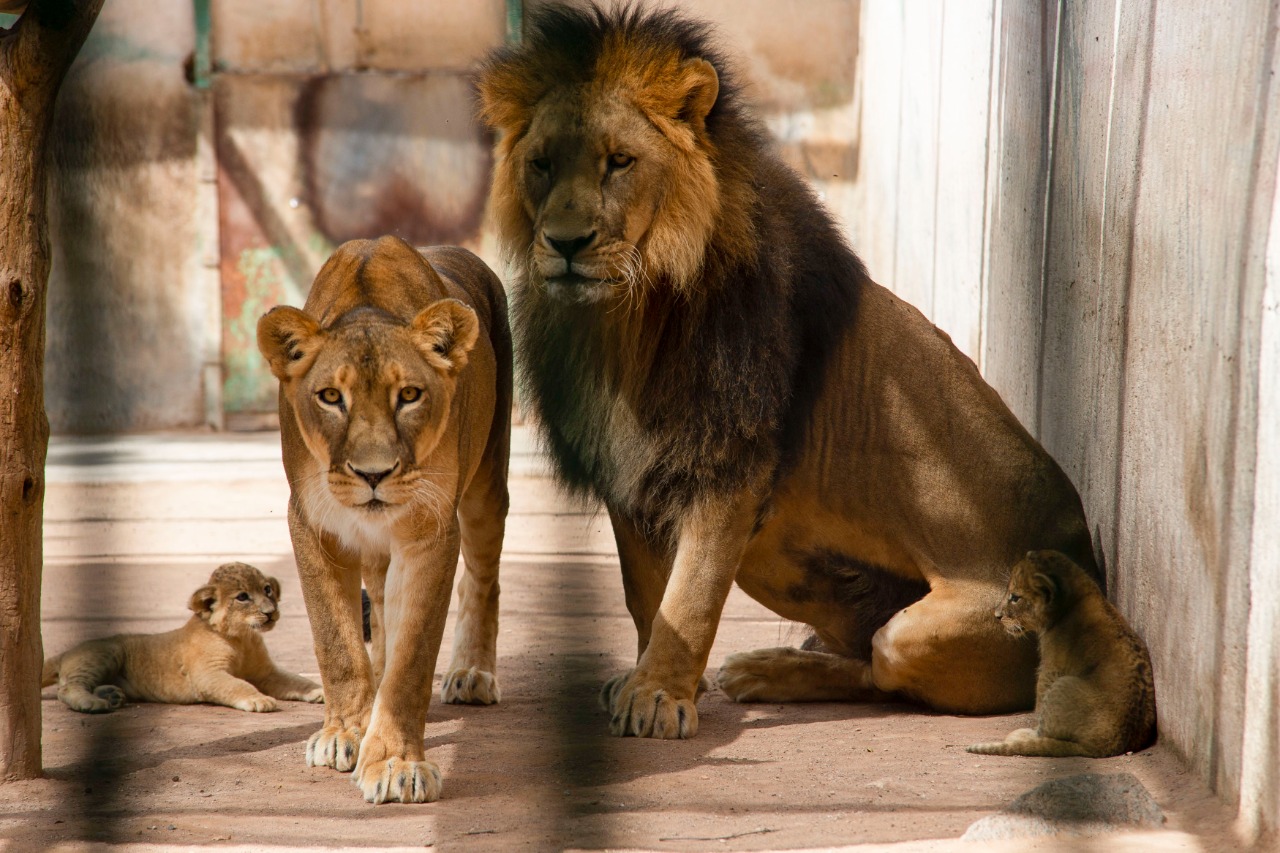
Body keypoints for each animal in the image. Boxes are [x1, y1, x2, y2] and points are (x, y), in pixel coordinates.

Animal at [257, 235, 512, 799]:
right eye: (331, 397)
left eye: (410, 395)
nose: (373, 474)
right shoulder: (313, 524)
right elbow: (338, 643)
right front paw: (344, 733)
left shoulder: (430, 529)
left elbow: (413, 657)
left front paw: (395, 762)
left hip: (487, 486)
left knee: (483, 578)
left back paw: (472, 673)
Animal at [481, 4, 1100, 737]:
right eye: (542, 164)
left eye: (619, 162)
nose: (566, 243)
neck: (626, 318)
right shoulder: (629, 473)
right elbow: (645, 594)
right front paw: (646, 681)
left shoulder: (728, 465)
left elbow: (688, 596)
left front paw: (658, 697)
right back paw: (769, 667)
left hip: (924, 626)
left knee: (884, 670)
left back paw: (770, 670)